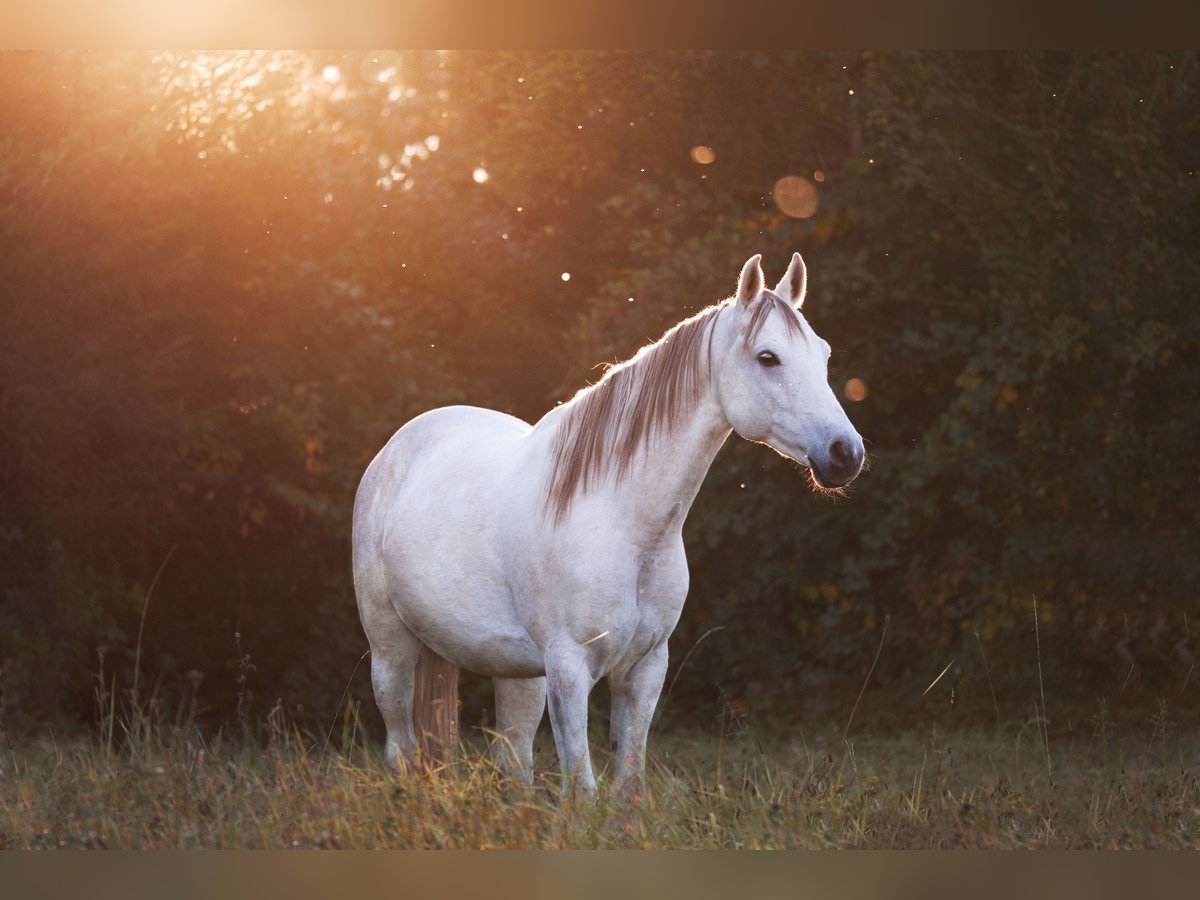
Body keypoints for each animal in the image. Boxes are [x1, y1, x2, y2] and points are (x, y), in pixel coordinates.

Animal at [350, 254, 868, 796]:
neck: (623, 527)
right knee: (401, 747)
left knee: (511, 756)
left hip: (515, 671)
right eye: (768, 358)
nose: (845, 453)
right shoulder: (569, 670)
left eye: (824, 355)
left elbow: (628, 784)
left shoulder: (645, 668)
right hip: (391, 649)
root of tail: (398, 446)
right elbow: (582, 790)